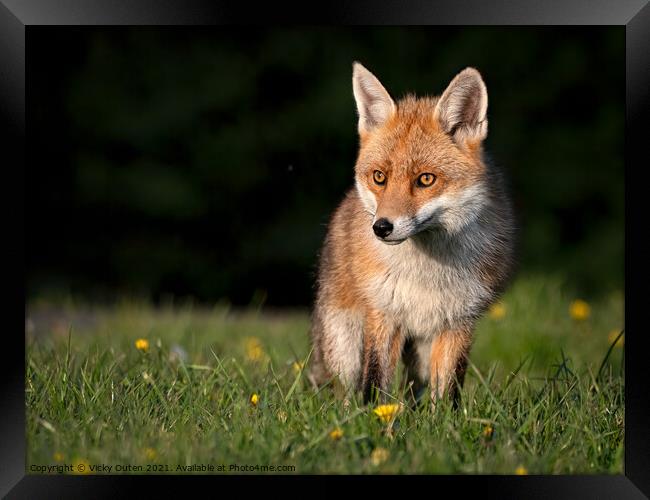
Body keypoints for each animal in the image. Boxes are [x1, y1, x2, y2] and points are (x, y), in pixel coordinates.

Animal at [308, 62, 516, 406]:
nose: (381, 227)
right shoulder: (383, 314)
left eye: (426, 179)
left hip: (420, 351)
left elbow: (448, 392)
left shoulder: (458, 322)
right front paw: (374, 418)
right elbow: (375, 382)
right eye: (379, 177)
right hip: (344, 343)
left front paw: (446, 419)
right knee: (344, 390)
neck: (425, 275)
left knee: (414, 389)